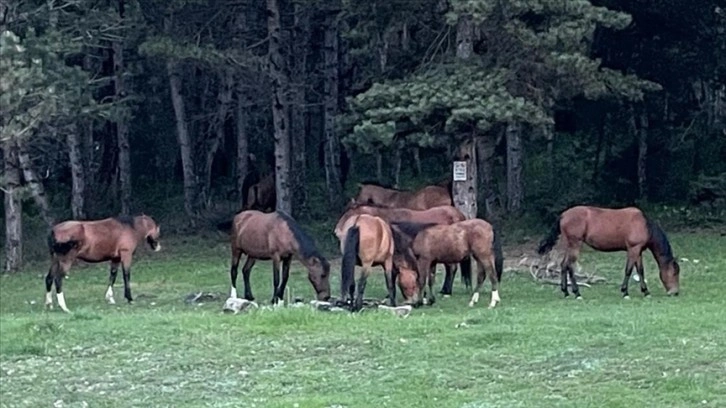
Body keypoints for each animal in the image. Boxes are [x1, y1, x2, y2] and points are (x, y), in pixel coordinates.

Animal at [536, 207, 684, 300]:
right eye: (675, 272)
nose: (675, 292)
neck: (644, 225)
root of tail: (563, 215)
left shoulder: (638, 251)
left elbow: (640, 271)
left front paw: (646, 291)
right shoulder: (633, 249)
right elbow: (628, 270)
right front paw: (625, 292)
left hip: (569, 245)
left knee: (563, 265)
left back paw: (566, 292)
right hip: (575, 245)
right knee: (569, 266)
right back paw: (577, 293)